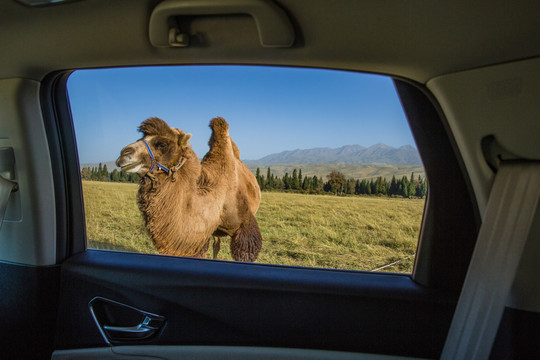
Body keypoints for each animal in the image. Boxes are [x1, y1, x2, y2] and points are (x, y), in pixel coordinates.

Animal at [116, 118, 264, 262]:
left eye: (162, 144)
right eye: (140, 138)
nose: (123, 154)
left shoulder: (246, 231)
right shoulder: (201, 237)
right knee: (216, 245)